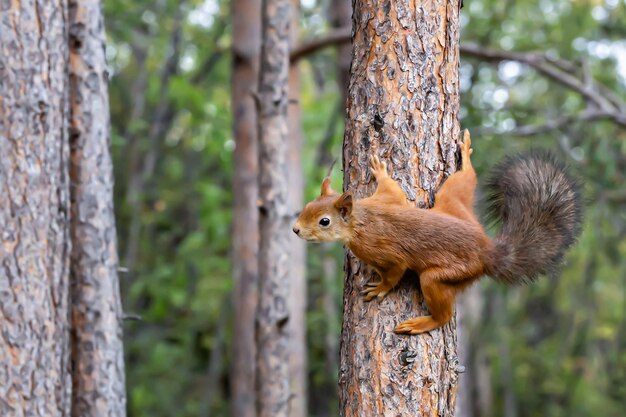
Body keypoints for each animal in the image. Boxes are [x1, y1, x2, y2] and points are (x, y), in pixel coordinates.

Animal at [292, 131, 580, 334]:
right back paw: (466, 160)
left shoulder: (383, 251)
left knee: (443, 312)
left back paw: (422, 323)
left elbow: (395, 271)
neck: (362, 219)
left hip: (448, 274)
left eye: (324, 221)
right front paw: (380, 169)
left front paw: (380, 288)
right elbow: (392, 188)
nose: (295, 229)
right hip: (452, 202)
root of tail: (486, 251)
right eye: (306, 207)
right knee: (462, 183)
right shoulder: (387, 199)